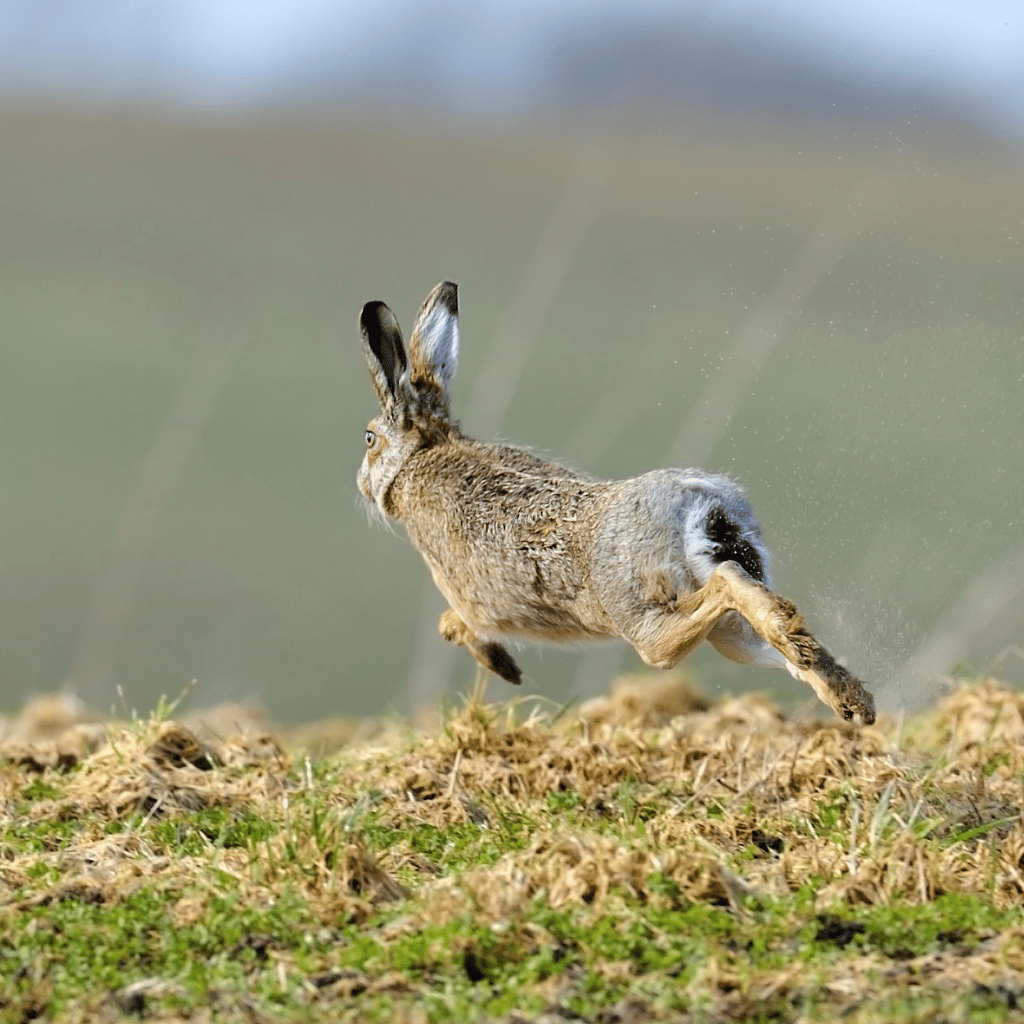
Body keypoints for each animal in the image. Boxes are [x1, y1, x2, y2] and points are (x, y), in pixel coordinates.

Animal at [357, 281, 876, 724]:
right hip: (730, 629)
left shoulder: (466, 596)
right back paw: (852, 701)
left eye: (368, 439)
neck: (424, 452)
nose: (361, 485)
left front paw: (505, 668)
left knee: (723, 587)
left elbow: (455, 623)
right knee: (778, 636)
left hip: (644, 620)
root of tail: (696, 503)